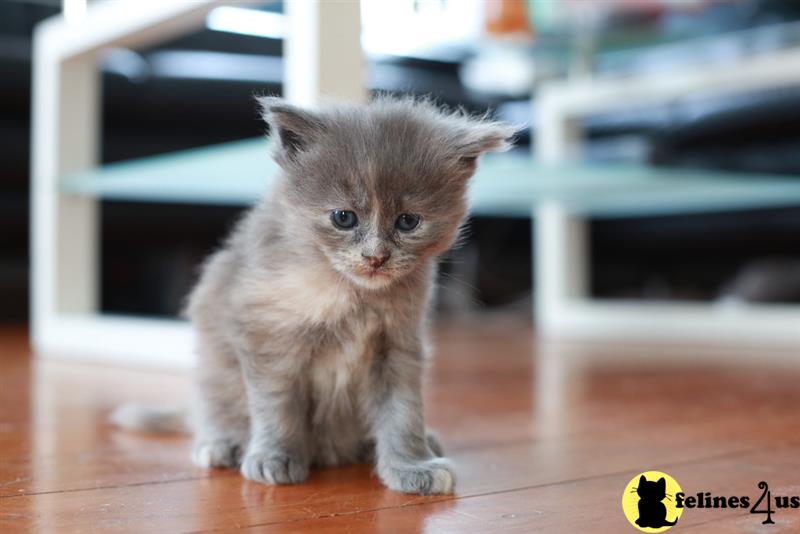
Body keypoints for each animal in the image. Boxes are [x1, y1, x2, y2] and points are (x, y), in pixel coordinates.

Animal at [112, 96, 512, 498]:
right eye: (343, 218)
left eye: (408, 221)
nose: (376, 257)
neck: (351, 295)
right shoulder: (266, 333)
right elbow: (277, 404)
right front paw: (274, 457)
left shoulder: (399, 343)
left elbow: (403, 410)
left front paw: (412, 465)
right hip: (213, 368)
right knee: (211, 407)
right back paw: (219, 444)